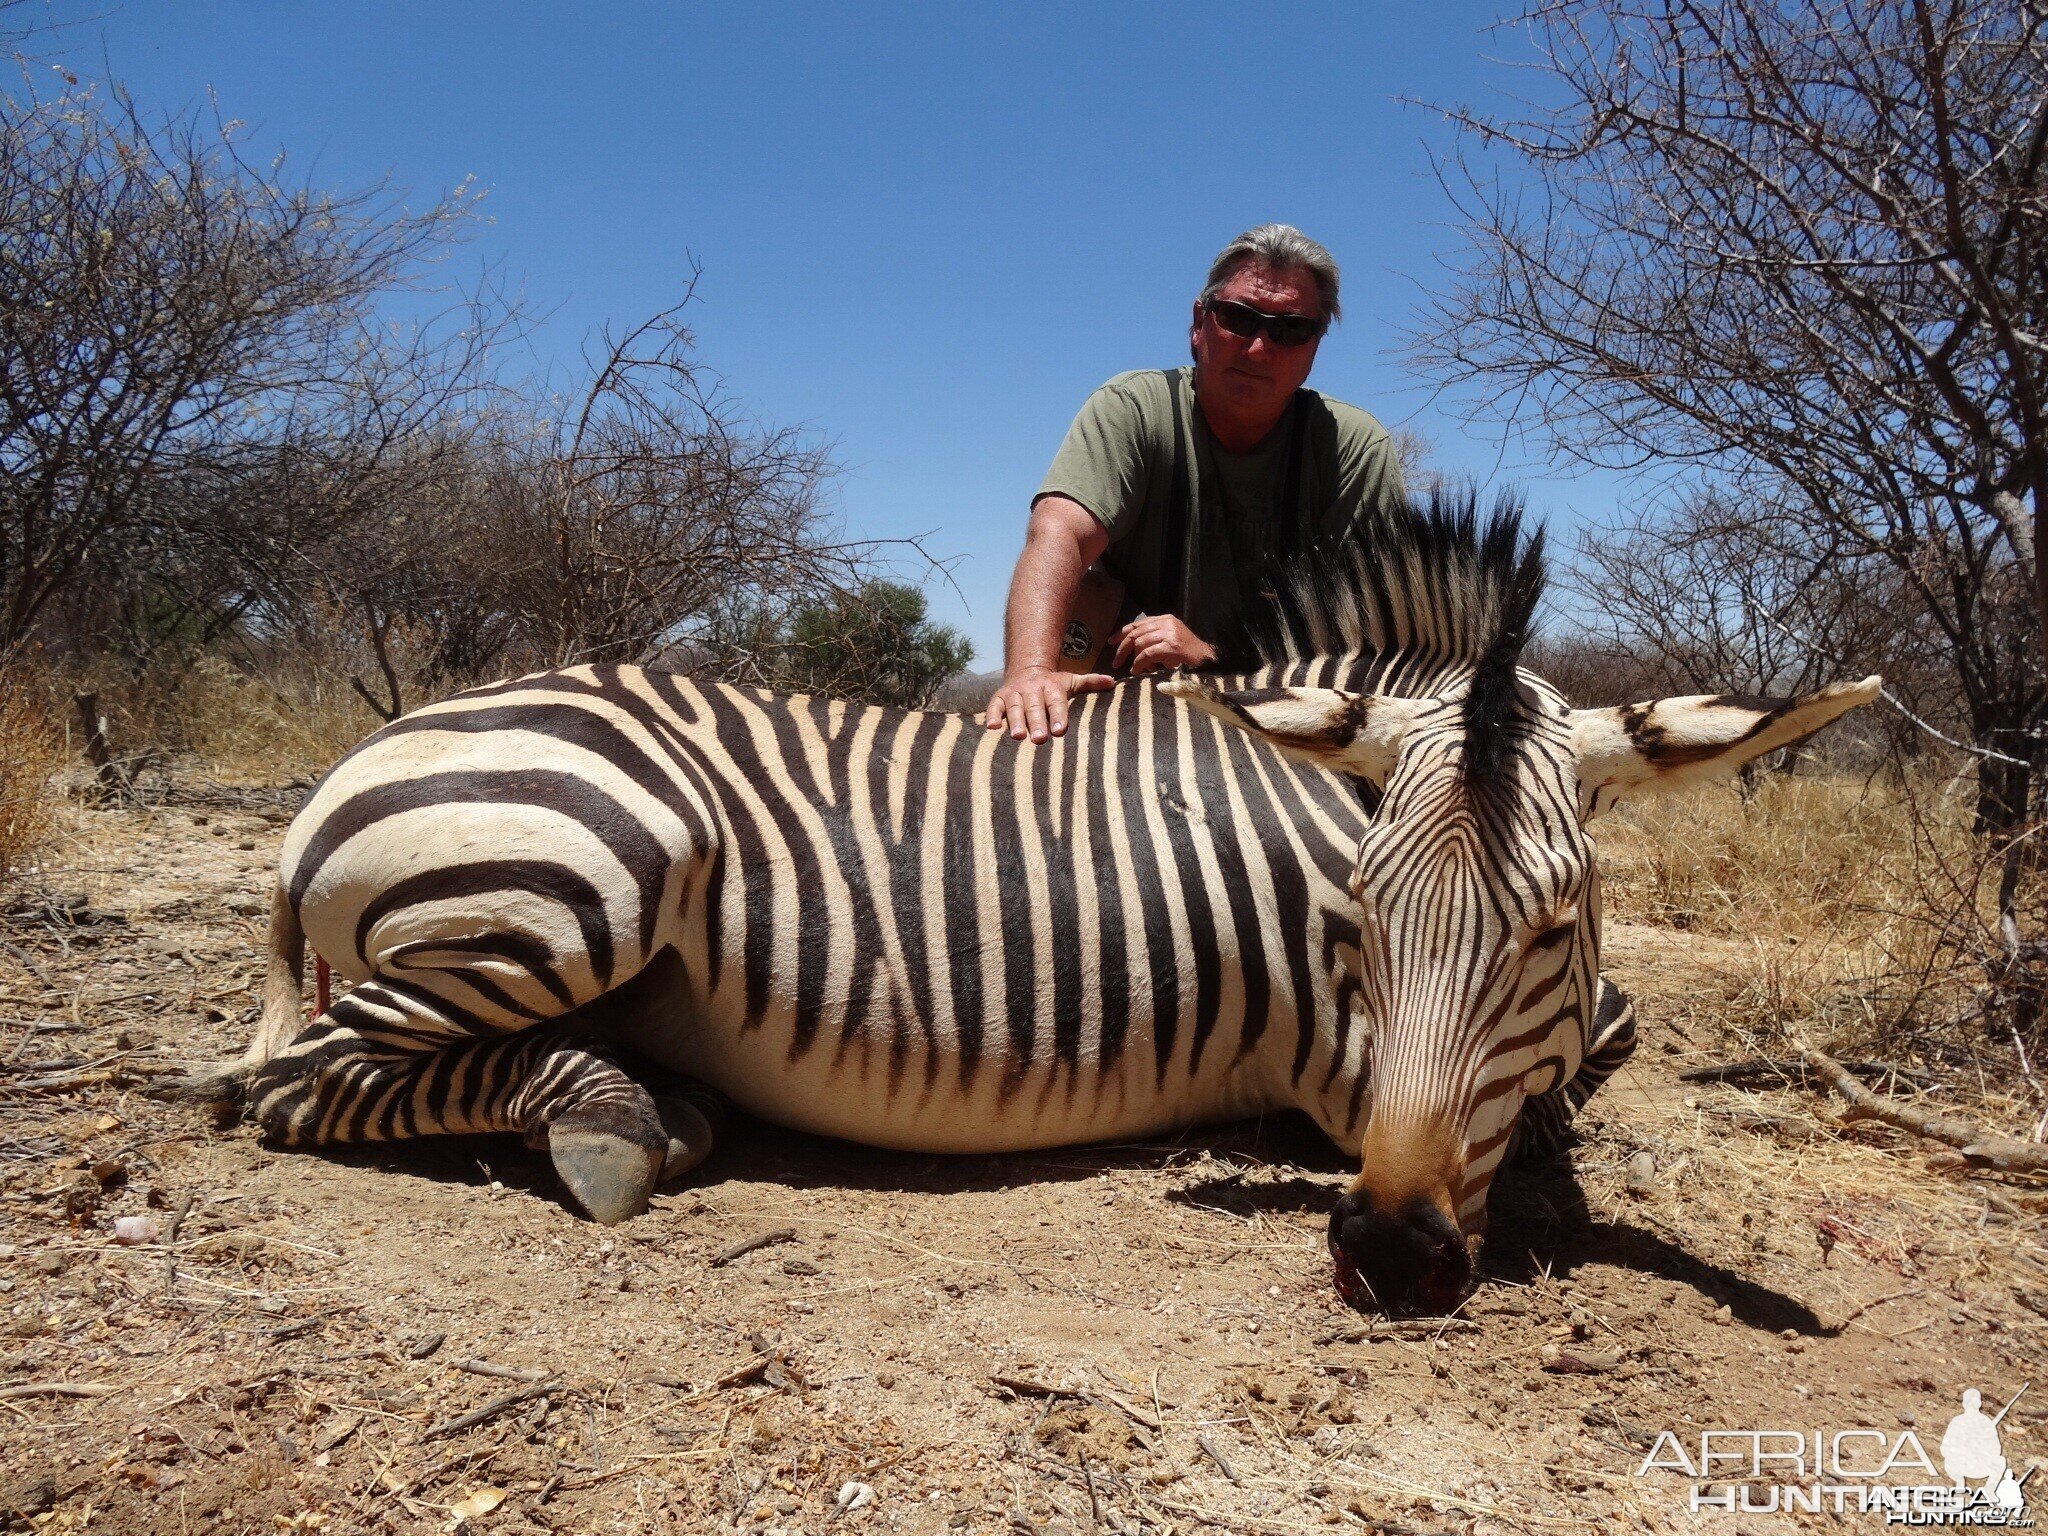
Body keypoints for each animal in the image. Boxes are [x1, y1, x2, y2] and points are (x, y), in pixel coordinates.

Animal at [192, 495, 1875, 1327]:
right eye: (1354, 926)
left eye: (1553, 925)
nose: (1389, 1262)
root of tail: (355, 769)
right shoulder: (1346, 1073)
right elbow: (1543, 1122)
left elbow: (1585, 1059)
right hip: (585, 874)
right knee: (283, 1089)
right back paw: (610, 1122)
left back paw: (653, 1104)